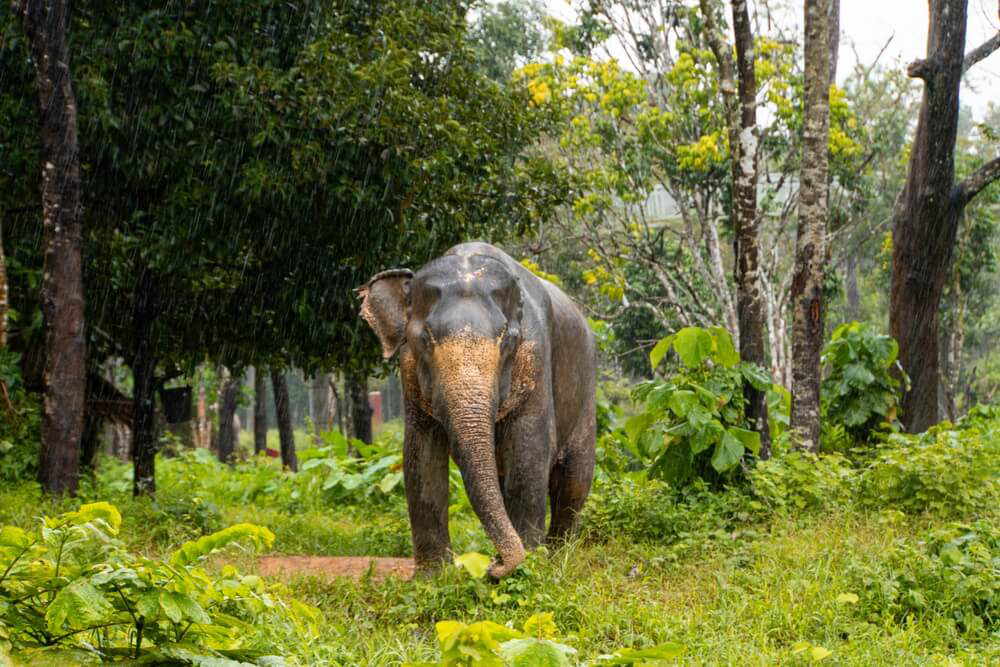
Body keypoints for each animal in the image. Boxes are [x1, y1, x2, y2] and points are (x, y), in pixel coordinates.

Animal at [357, 242, 596, 577]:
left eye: (508, 340)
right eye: (424, 339)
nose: (492, 569)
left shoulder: (535, 356)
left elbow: (530, 449)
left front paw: (528, 568)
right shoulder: (408, 372)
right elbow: (420, 454)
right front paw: (433, 577)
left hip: (586, 394)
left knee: (574, 481)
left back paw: (558, 559)